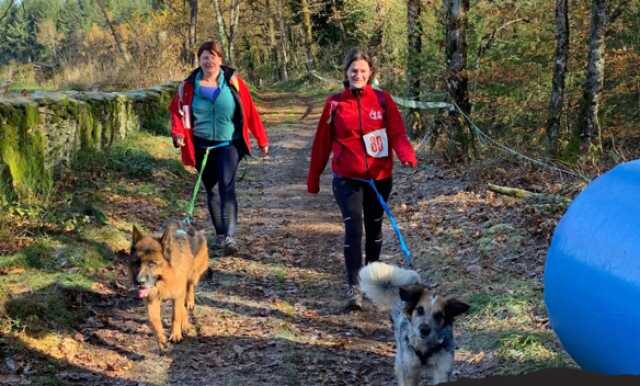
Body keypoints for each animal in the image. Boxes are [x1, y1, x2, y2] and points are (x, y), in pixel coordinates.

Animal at [129, 222, 209, 352]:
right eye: (137, 263)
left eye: (152, 263)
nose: (138, 282)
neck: (165, 279)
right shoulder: (152, 300)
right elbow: (154, 321)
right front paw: (161, 340)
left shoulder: (177, 296)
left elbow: (175, 316)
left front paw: (175, 335)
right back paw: (185, 324)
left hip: (193, 275)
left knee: (189, 288)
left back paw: (189, 304)